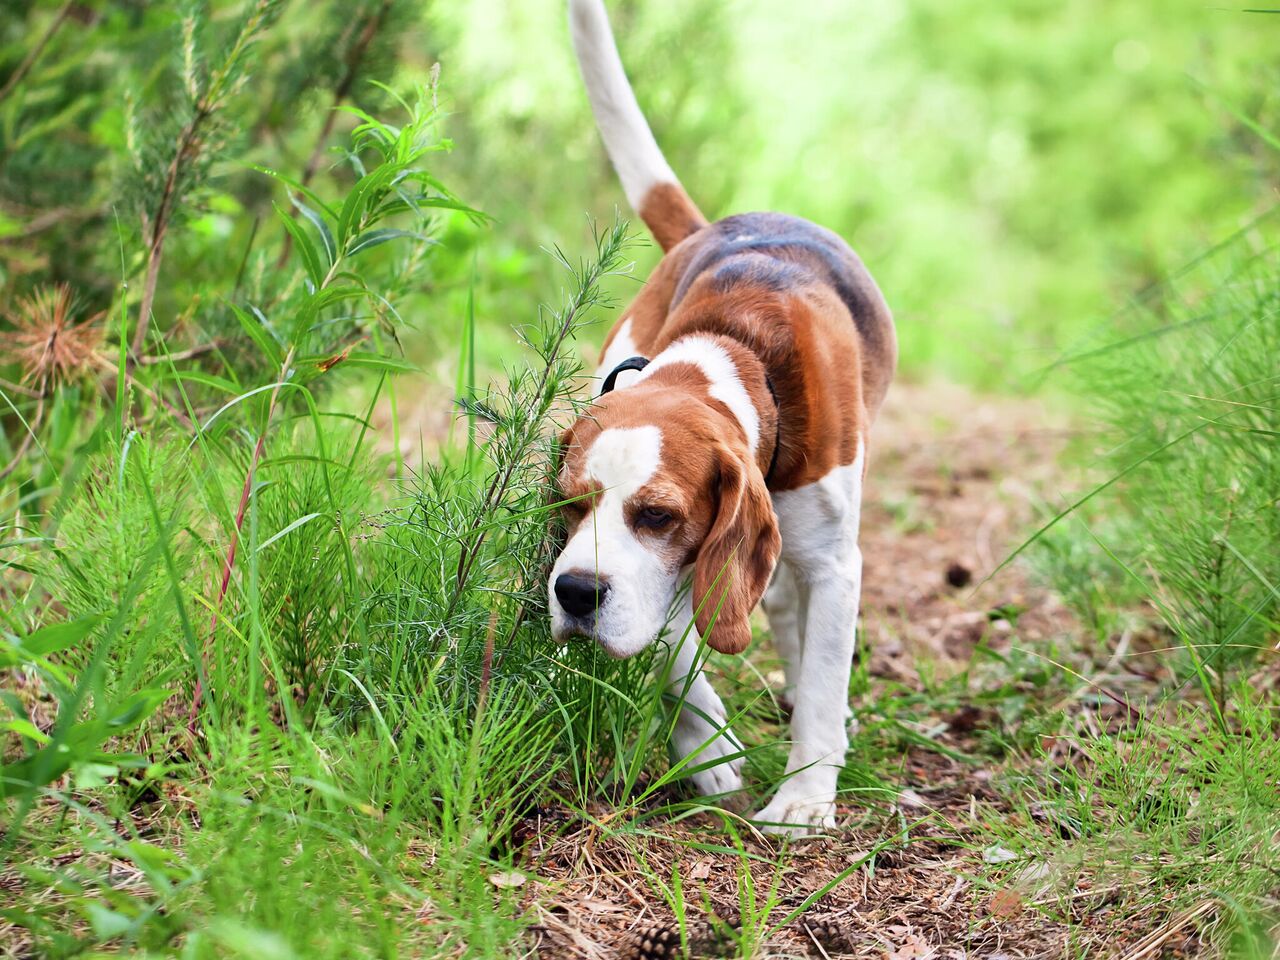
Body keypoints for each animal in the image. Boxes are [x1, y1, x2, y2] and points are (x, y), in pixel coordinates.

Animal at [552, 0, 901, 834]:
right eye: (569, 506)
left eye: (656, 514)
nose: (573, 594)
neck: (729, 353)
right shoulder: (676, 573)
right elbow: (676, 647)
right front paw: (708, 750)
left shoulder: (834, 561)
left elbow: (823, 679)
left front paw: (805, 798)